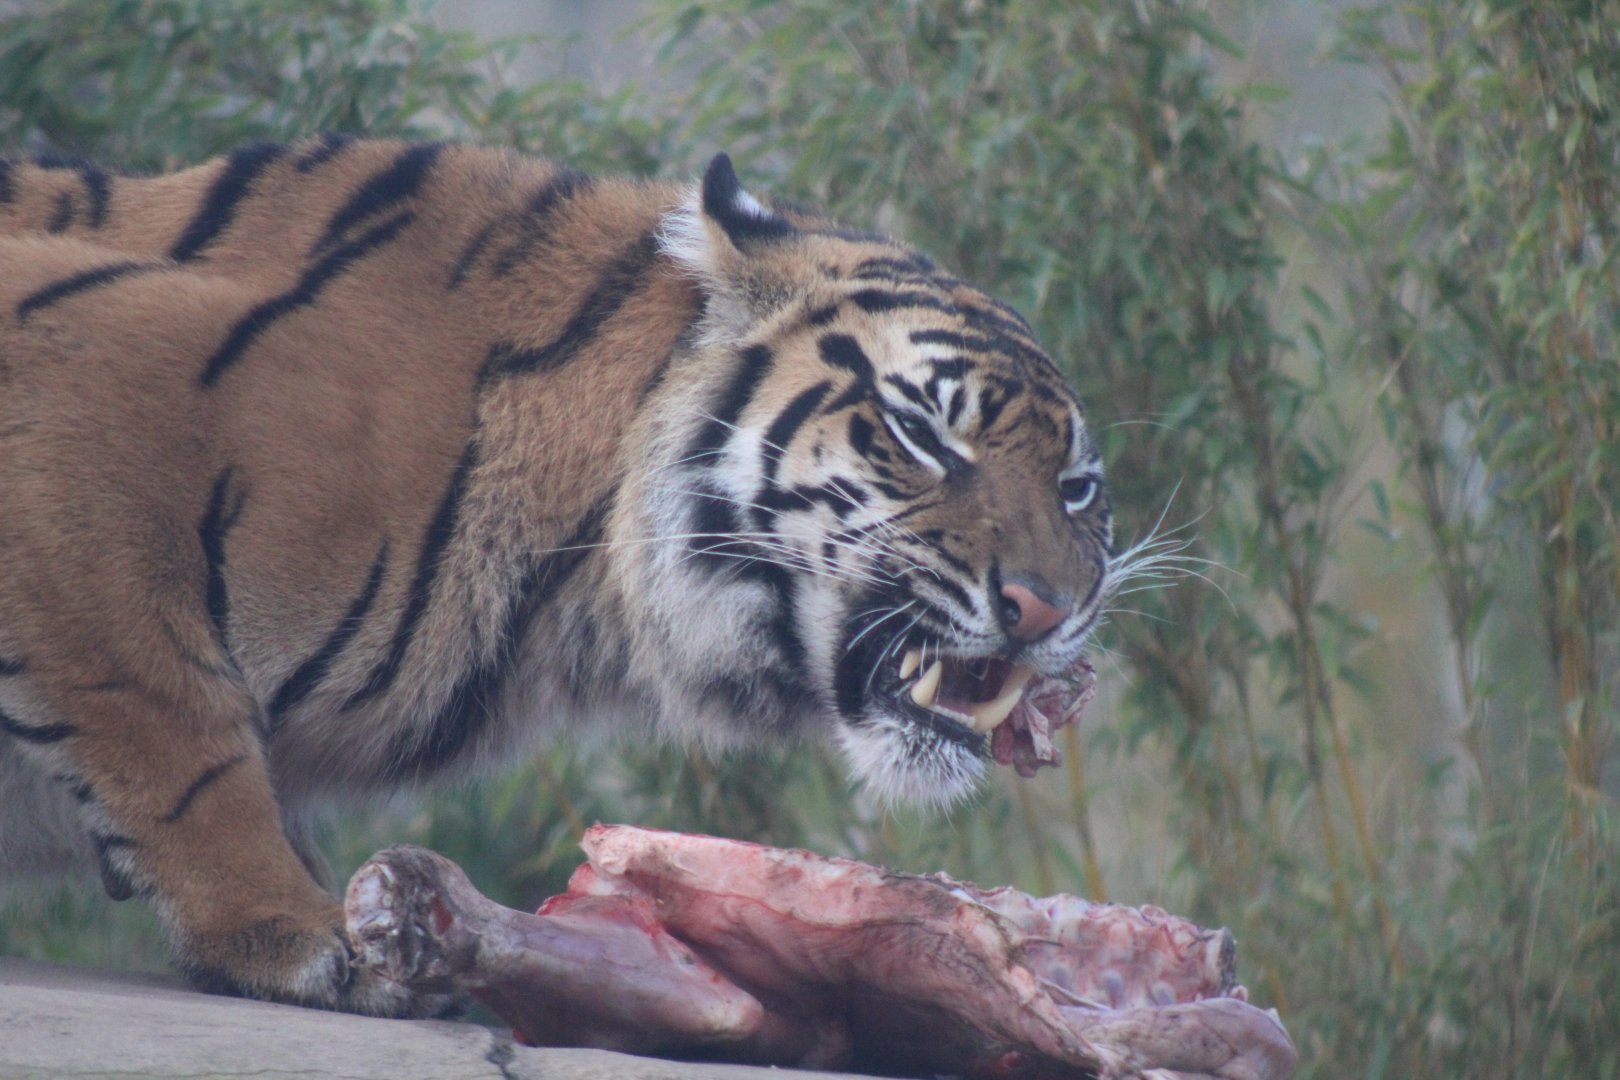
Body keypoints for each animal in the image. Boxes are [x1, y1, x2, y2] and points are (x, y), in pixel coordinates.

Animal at [0, 137, 1113, 1014]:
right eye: (922, 434)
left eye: (1078, 488)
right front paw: (291, 930)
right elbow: (169, 720)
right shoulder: (80, 406)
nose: (1044, 607)